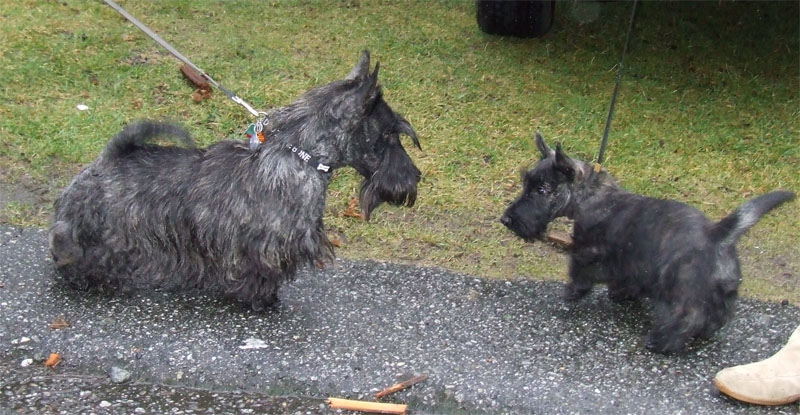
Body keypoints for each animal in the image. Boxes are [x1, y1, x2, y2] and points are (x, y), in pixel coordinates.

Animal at [49, 50, 421, 311]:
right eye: (388, 135)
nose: (414, 177)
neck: (299, 155)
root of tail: (109, 158)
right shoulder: (265, 245)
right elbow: (259, 272)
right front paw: (262, 300)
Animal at [501, 132, 794, 353]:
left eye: (542, 190)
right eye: (526, 183)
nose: (506, 219)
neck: (591, 194)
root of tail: (717, 234)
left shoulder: (588, 251)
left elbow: (580, 273)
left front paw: (572, 293)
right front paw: (621, 294)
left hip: (680, 288)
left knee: (688, 316)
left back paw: (661, 341)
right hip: (723, 289)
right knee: (721, 314)